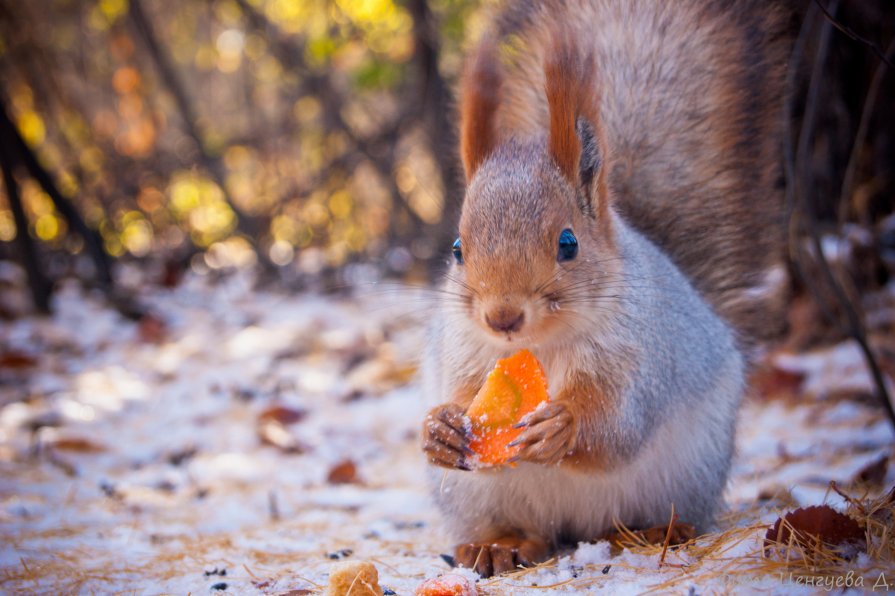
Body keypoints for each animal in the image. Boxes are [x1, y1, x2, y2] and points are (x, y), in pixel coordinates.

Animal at [422, 0, 792, 576]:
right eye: (458, 250)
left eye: (568, 243)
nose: (502, 318)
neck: (541, 348)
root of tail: (577, 528)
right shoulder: (463, 351)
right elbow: (460, 394)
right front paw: (440, 428)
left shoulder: (638, 356)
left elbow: (619, 425)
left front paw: (562, 428)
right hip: (475, 499)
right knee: (524, 530)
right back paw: (499, 544)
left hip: (688, 472)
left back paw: (658, 529)